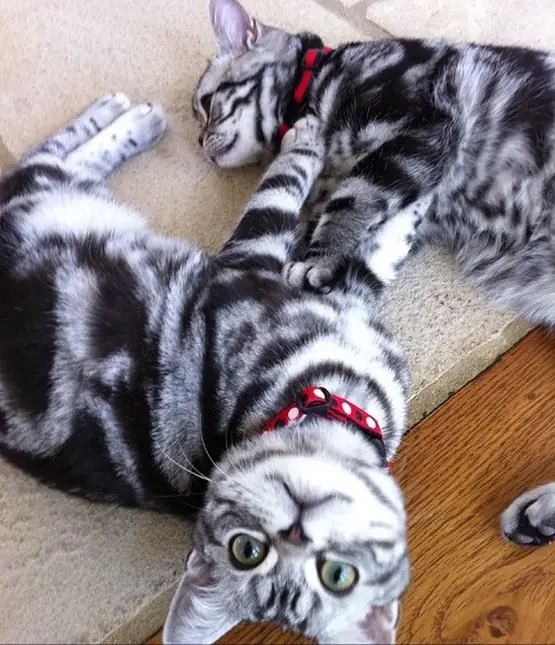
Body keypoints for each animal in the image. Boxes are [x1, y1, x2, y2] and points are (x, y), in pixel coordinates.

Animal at [0, 97, 411, 643]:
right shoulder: (256, 259)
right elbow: (293, 188)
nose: (297, 525)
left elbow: (365, 254)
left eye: (338, 575)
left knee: (61, 163)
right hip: (43, 199)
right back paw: (131, 117)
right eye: (247, 549)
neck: (338, 396)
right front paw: (312, 140)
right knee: (45, 158)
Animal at [194, 0, 555, 548]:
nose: (199, 141)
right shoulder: (412, 196)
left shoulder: (421, 130)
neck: (320, 79)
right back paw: (538, 516)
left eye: (207, 102)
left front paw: (317, 258)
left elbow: (353, 198)